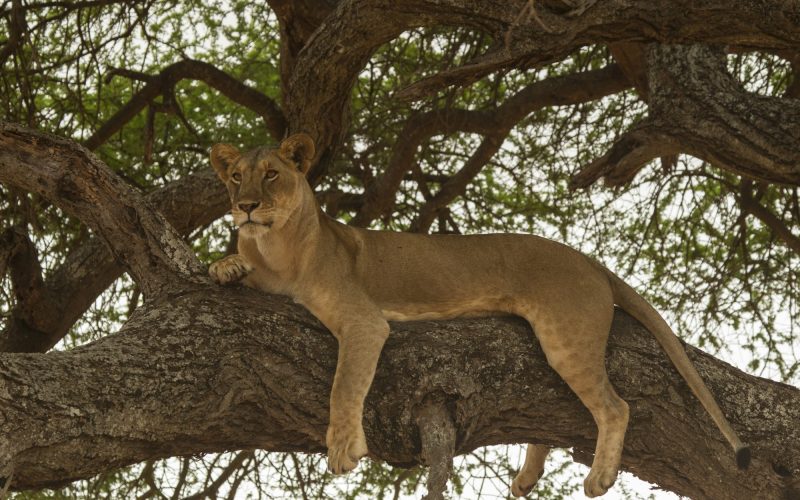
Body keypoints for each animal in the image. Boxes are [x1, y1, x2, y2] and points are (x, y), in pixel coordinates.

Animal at [207, 133, 749, 497]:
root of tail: (588, 259)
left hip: (566, 338)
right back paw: (527, 478)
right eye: (236, 177)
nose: (245, 205)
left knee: (615, 407)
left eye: (271, 173)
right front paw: (225, 265)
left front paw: (342, 448)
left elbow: (344, 385)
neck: (276, 250)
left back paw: (598, 477)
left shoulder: (363, 321)